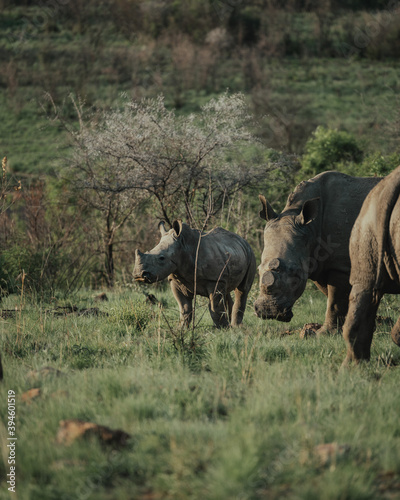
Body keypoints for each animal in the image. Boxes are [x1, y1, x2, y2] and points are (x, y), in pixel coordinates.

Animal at [253, 171, 382, 332]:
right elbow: (333, 297)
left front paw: (326, 333)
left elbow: (335, 301)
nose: (268, 312)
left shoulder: (341, 264)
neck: (311, 229)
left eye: (296, 274)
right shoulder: (317, 261)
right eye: (258, 270)